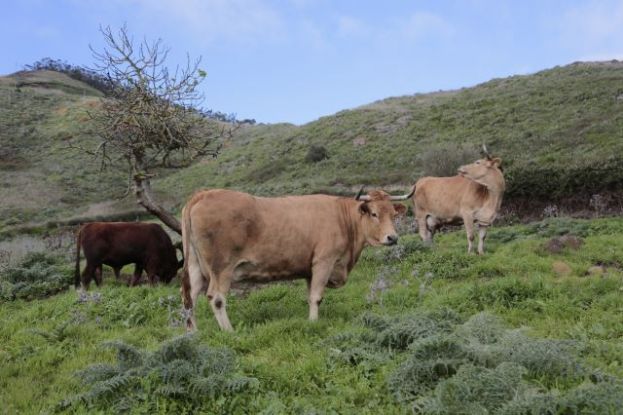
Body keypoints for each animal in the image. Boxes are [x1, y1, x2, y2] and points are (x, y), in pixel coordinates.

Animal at [180, 188, 414, 332]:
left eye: (393, 214)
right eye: (374, 213)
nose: (392, 238)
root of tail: (203, 194)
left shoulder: (310, 269)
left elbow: (310, 296)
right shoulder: (324, 262)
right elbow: (317, 297)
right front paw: (313, 322)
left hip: (195, 267)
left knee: (189, 298)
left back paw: (193, 332)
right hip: (221, 268)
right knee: (217, 298)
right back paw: (229, 331)